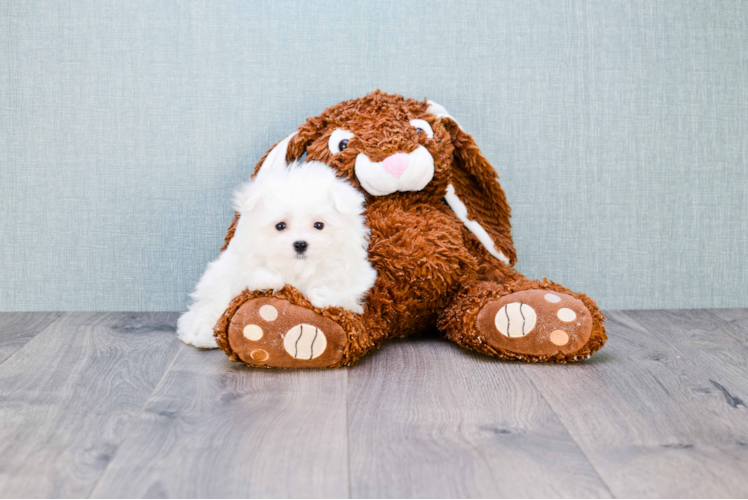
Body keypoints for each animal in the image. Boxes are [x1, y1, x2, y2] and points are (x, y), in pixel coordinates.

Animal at [175, 160, 374, 348]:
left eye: (319, 225)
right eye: (280, 225)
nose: (300, 244)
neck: (301, 267)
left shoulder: (352, 273)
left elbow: (343, 291)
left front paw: (323, 295)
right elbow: (253, 275)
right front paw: (268, 280)